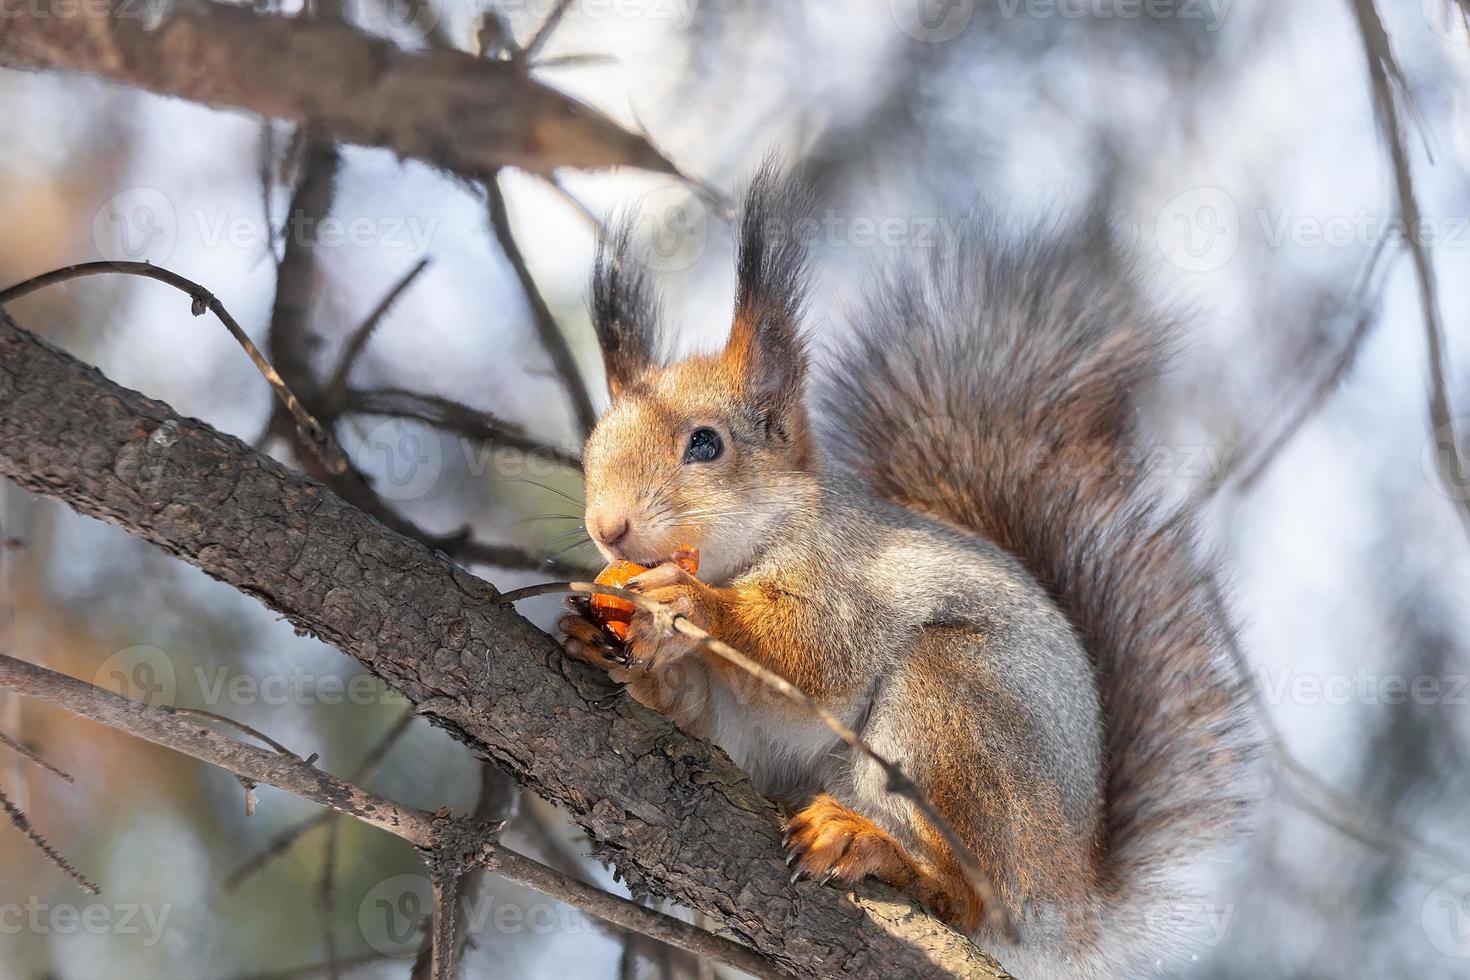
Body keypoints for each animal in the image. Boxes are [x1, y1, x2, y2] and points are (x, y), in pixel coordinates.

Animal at [558, 164, 1264, 975]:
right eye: (594, 442)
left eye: (706, 444)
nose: (608, 529)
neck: (749, 546)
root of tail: (1069, 902)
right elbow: (709, 722)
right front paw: (613, 649)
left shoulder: (845, 578)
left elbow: (817, 657)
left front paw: (687, 606)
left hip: (954, 710)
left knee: (969, 896)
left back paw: (876, 847)